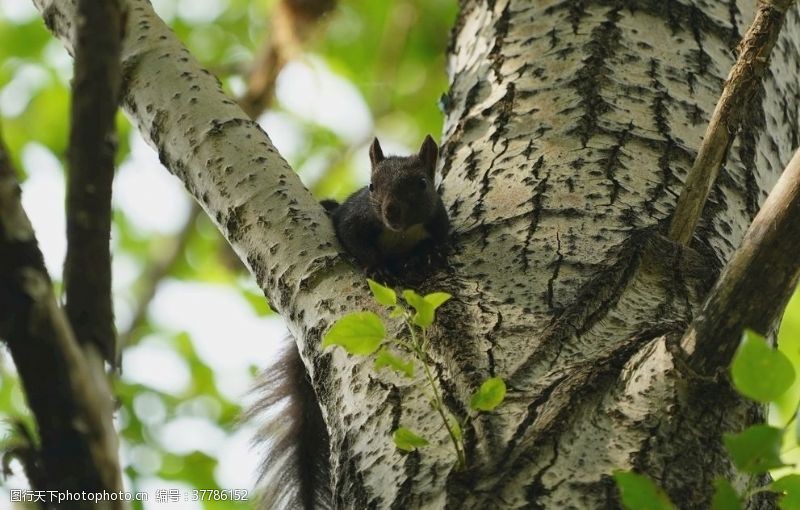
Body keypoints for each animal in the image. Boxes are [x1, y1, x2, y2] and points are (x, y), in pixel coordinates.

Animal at [252, 133, 450, 508]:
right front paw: (377, 268)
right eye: (371, 186)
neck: (399, 234)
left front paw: (430, 255)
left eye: (422, 183)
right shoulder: (355, 218)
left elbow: (439, 242)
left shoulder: (439, 221)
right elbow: (355, 240)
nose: (391, 212)